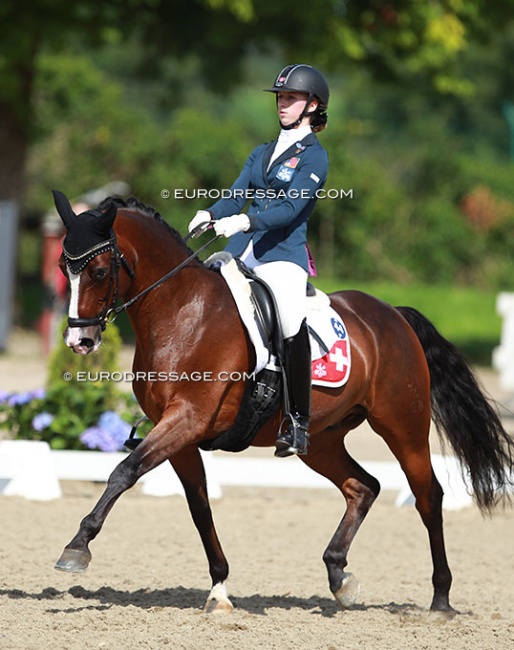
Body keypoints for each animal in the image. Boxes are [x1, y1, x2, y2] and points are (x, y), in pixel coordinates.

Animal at [52, 191, 512, 612]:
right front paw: (219, 590)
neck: (181, 312)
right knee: (363, 486)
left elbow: (123, 472)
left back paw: (440, 599)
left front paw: (77, 546)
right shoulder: (180, 434)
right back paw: (339, 575)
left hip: (404, 425)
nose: (79, 341)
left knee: (428, 496)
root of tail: (394, 315)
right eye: (62, 268)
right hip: (321, 439)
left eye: (98, 270)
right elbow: (199, 506)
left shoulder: (187, 419)